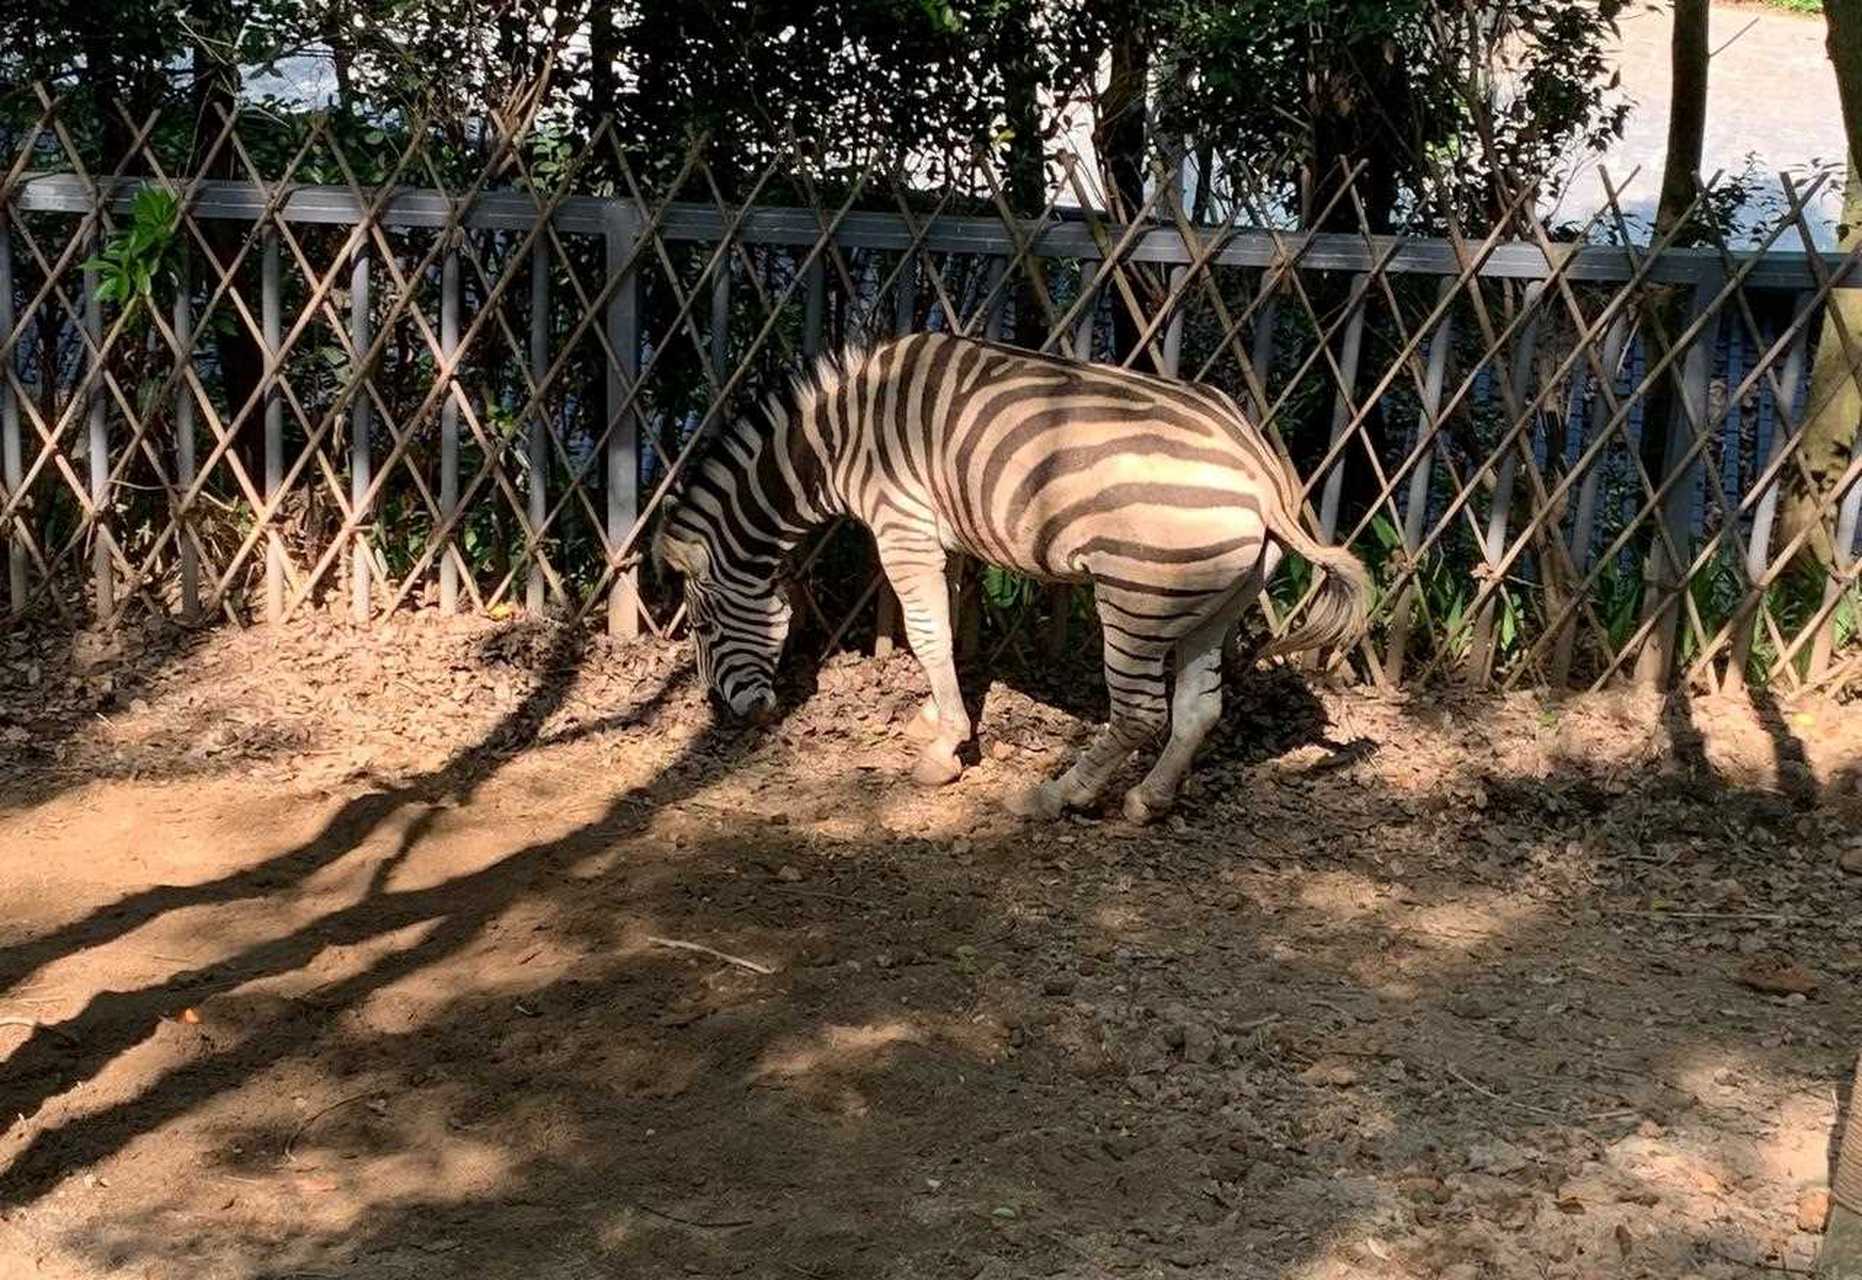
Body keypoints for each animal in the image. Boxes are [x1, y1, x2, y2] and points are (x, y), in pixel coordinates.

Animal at [651, 329, 1370, 827]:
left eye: (702, 627)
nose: (728, 715)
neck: (834, 440)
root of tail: (1262, 468)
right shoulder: (945, 535)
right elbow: (944, 631)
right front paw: (935, 716)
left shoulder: (902, 525)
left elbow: (925, 632)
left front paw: (945, 750)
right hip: (1218, 601)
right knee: (1200, 709)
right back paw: (1148, 801)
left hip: (1135, 597)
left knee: (1140, 715)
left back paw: (1057, 795)